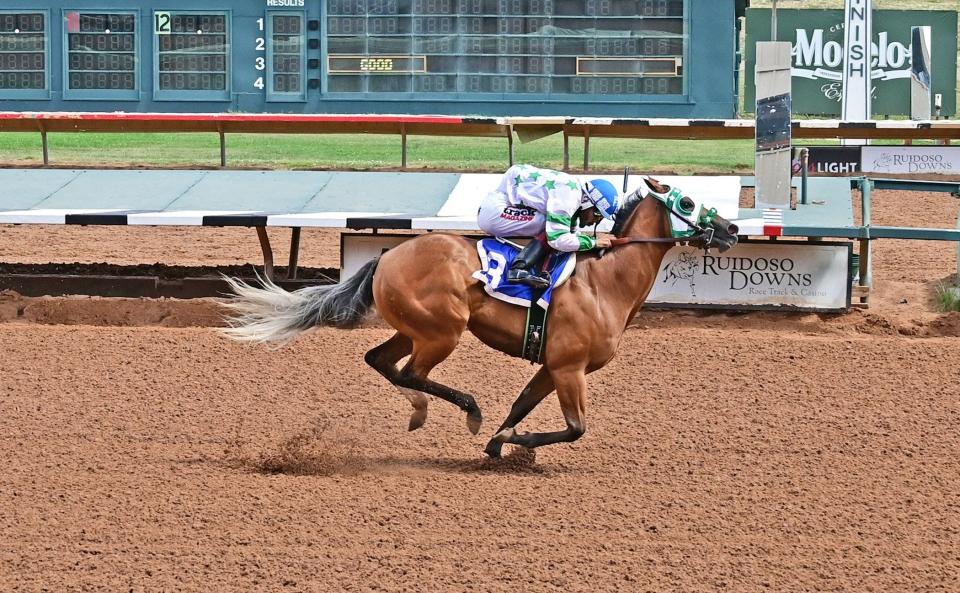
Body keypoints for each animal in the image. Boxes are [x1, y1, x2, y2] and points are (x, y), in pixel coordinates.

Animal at [221, 178, 740, 456]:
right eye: (687, 203)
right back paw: (465, 409)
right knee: (411, 372)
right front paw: (514, 440)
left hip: (415, 329)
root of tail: (387, 256)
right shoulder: (570, 368)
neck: (604, 283)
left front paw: (498, 442)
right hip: (443, 331)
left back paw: (420, 411)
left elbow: (521, 405)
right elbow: (575, 428)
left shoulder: (552, 367)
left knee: (382, 362)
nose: (732, 228)